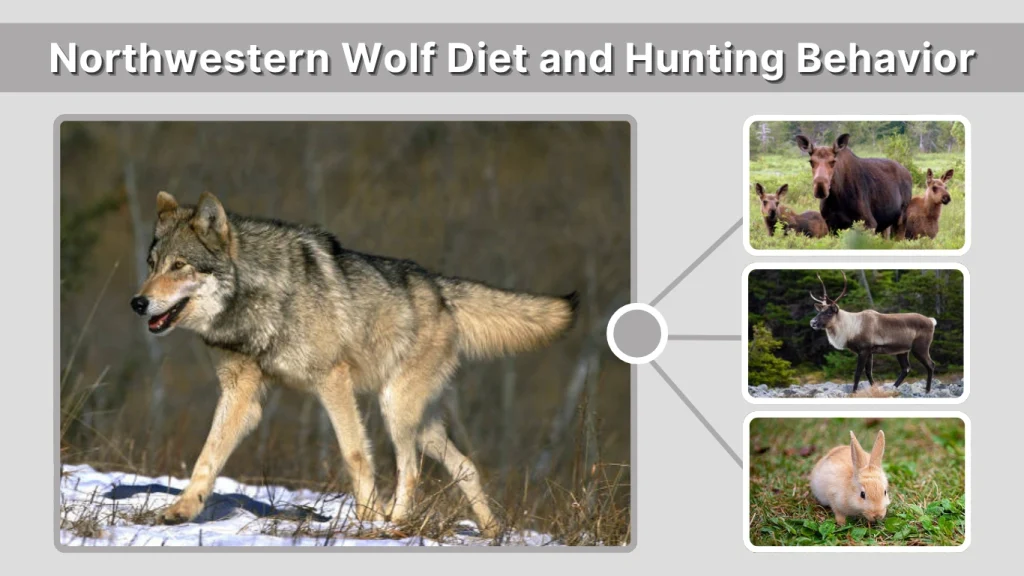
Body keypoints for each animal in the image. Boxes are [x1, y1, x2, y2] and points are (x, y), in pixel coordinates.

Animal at [130, 191, 579, 537]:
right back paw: (491, 533)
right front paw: (182, 510)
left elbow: (355, 454)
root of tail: (440, 288)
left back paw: (393, 523)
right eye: (152, 265)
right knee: (466, 466)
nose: (138, 302)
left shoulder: (333, 380)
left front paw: (367, 519)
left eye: (179, 266)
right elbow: (207, 456)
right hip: (421, 422)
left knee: (410, 470)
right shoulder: (242, 394)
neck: (259, 298)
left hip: (395, 408)